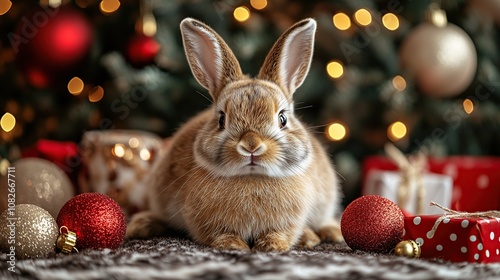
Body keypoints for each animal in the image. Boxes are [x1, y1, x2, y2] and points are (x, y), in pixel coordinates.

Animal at [126, 18, 344, 253]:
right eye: (222, 119)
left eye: (283, 119)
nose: (251, 145)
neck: (251, 177)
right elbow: (220, 233)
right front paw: (233, 245)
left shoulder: (290, 221)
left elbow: (281, 233)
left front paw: (272, 246)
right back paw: (140, 226)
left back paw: (325, 235)